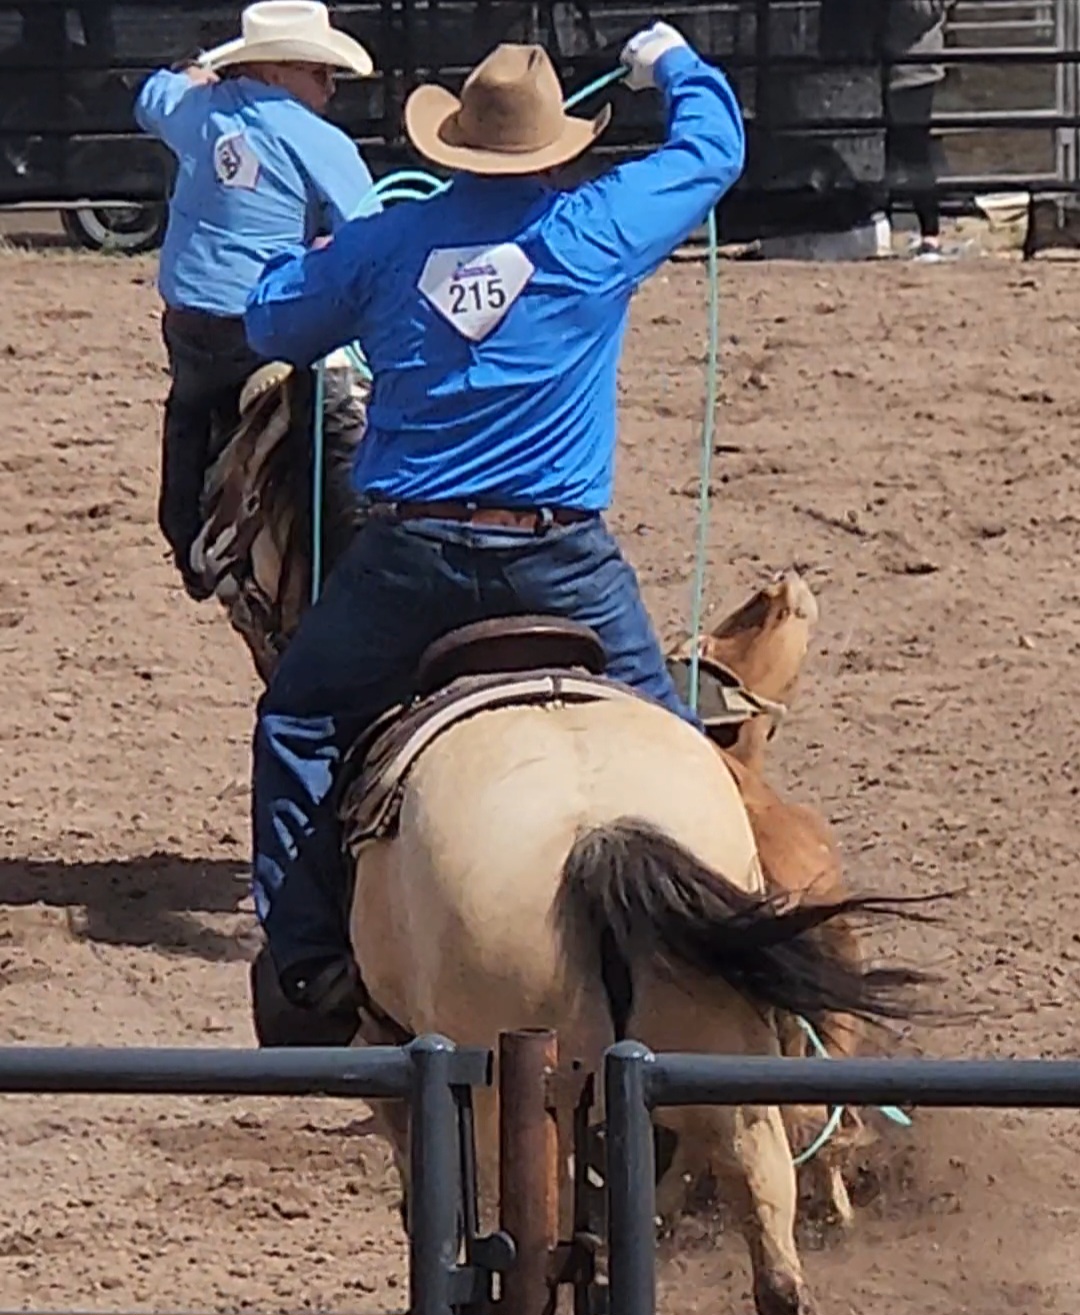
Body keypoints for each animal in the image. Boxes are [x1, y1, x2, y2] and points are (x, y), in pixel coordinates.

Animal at [189, 362, 931, 1315]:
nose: (200, 544)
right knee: (771, 1248)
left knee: (527, 1259)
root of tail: (599, 830)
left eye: (242, 449)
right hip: (727, 1090)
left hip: (515, 1097)